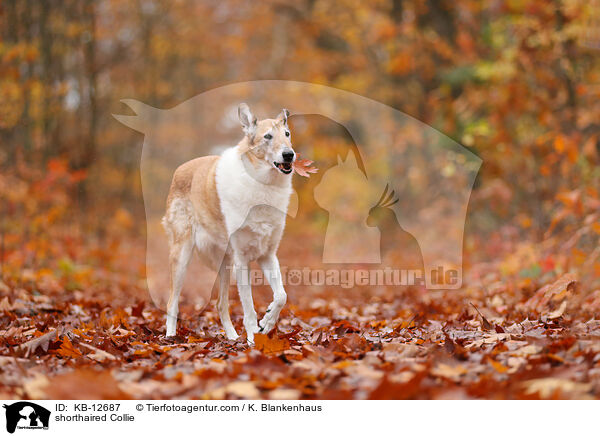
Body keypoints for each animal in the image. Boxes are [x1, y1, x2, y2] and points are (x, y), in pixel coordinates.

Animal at [162, 103, 296, 344]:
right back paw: (170, 337)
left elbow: (281, 295)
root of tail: (180, 169)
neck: (262, 185)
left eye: (287, 134)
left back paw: (233, 338)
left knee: (220, 304)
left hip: (225, 264)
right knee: (172, 303)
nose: (289, 154)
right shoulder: (242, 260)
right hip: (182, 257)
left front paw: (267, 321)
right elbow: (249, 309)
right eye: (268, 136)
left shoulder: (267, 256)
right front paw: (254, 340)